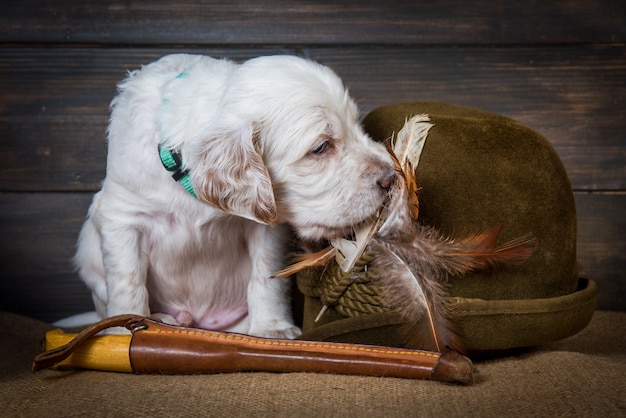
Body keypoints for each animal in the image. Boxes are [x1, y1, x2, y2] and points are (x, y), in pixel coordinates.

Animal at [73, 54, 392, 338]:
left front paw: (272, 328)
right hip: (89, 254)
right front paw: (121, 329)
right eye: (321, 147)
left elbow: (266, 277)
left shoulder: (267, 229)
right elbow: (127, 281)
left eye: (357, 126)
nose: (391, 178)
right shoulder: (122, 218)